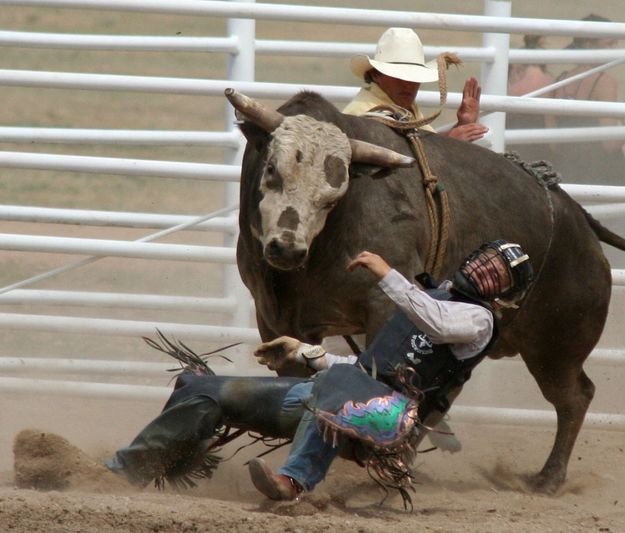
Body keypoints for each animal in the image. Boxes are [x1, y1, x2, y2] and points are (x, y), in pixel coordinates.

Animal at [225, 86, 624, 490]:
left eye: (333, 197)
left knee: (574, 397)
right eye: (272, 170)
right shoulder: (273, 315)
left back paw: (549, 477)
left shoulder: (385, 305)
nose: (287, 248)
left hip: (557, 346)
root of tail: (581, 220)